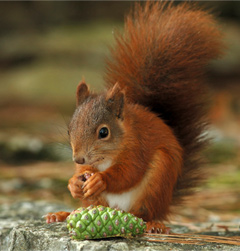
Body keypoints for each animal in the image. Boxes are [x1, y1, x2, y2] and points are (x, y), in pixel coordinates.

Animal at [45, 1, 223, 233]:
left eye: (104, 132)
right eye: (69, 129)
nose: (78, 158)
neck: (107, 158)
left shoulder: (139, 147)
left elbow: (129, 173)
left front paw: (100, 180)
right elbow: (82, 172)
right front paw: (73, 183)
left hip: (157, 181)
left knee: (144, 213)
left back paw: (153, 225)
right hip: (96, 200)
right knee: (90, 206)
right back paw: (62, 214)